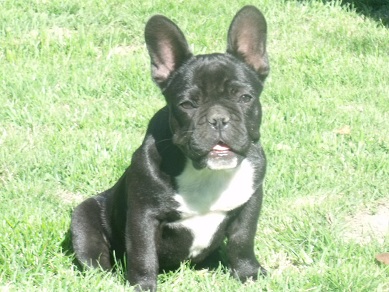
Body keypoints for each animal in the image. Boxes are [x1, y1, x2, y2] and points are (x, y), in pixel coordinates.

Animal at [70, 5, 266, 290]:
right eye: (187, 104)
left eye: (245, 98)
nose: (218, 118)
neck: (206, 172)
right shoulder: (143, 216)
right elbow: (143, 254)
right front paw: (143, 286)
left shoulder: (250, 201)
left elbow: (243, 240)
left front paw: (248, 273)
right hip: (82, 219)